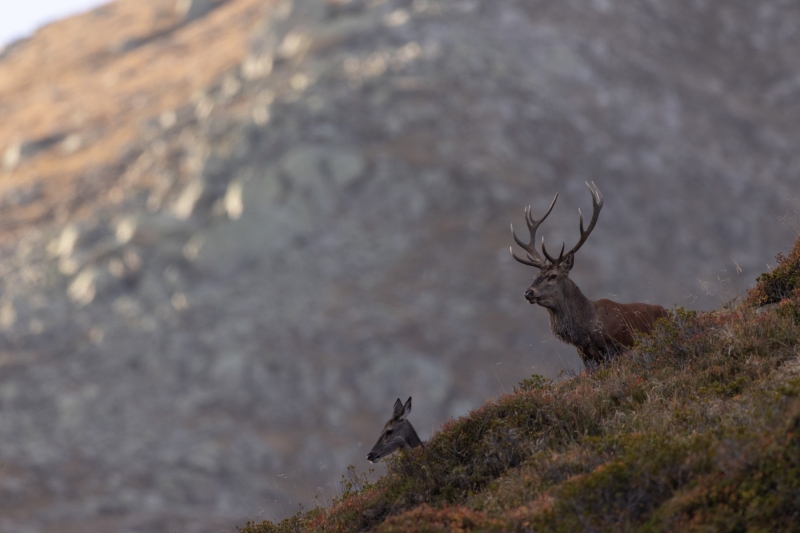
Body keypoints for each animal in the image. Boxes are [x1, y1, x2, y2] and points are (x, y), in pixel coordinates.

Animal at [510, 181, 667, 369]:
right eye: (535, 276)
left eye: (552, 276)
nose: (528, 292)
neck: (587, 331)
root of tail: (667, 312)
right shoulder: (585, 356)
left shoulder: (613, 348)